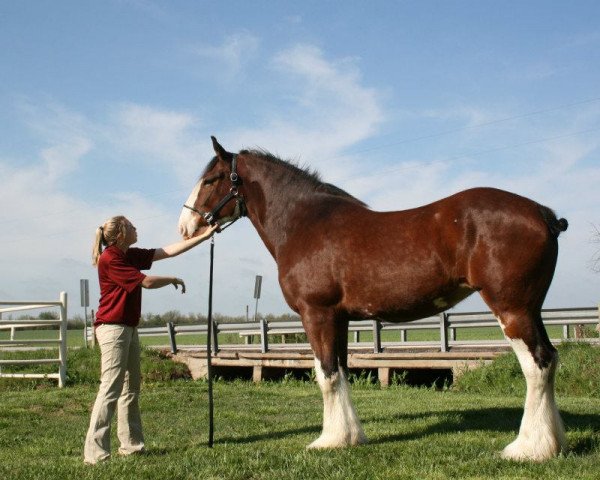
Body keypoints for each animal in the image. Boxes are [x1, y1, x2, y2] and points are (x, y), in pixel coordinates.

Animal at [177, 136, 568, 462]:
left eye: (211, 179)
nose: (185, 226)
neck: (304, 223)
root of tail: (543, 214)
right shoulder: (339, 318)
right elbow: (341, 371)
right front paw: (348, 437)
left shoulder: (316, 314)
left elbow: (326, 374)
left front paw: (328, 440)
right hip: (531, 309)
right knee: (550, 359)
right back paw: (554, 443)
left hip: (511, 309)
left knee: (536, 365)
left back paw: (528, 448)